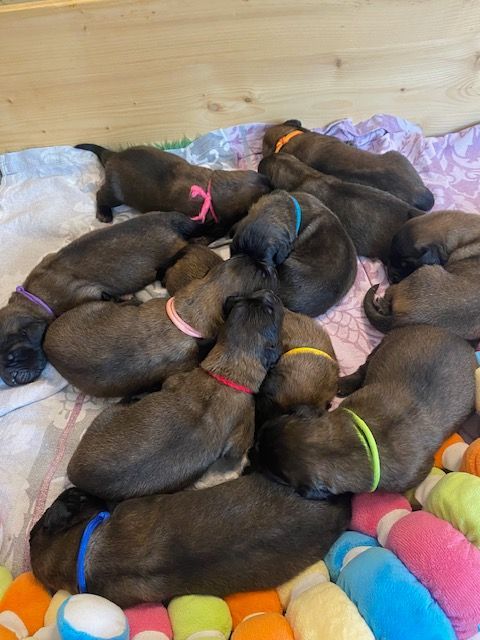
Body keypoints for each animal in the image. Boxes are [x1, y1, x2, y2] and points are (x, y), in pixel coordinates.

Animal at [76, 144, 271, 238]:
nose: (271, 183)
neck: (211, 191)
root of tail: (113, 155)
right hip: (116, 193)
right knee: (100, 195)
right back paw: (104, 214)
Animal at [255, 325, 475, 497]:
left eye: (274, 474)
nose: (253, 447)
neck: (351, 444)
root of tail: (458, 338)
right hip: (386, 343)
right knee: (365, 365)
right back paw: (344, 383)